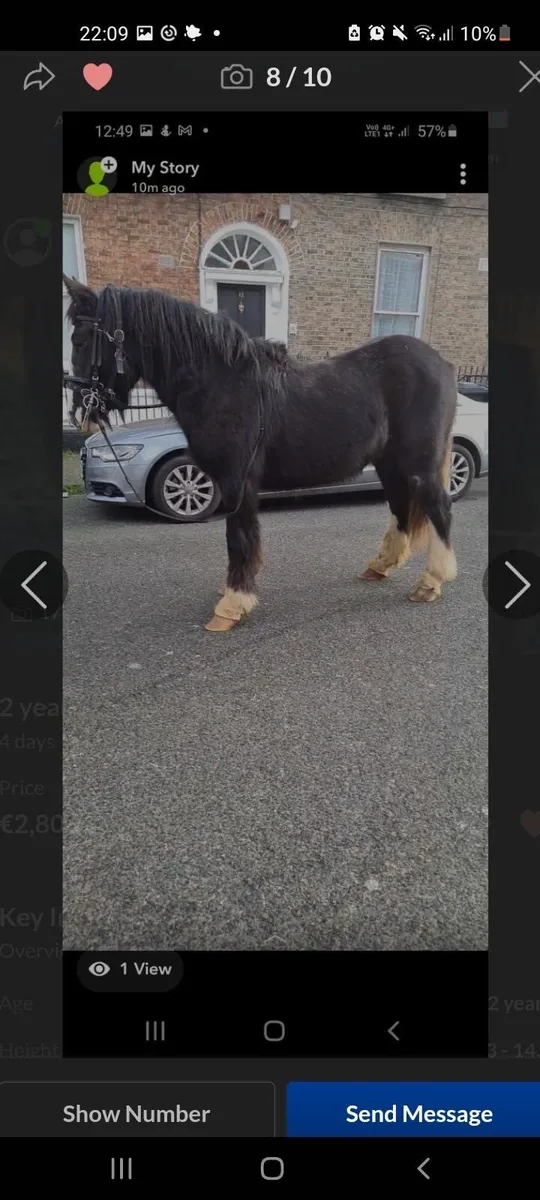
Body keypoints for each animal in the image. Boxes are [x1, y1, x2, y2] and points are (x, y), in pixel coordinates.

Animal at [64, 277, 458, 631]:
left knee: (438, 508)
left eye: (80, 340)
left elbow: (238, 538)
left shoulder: (238, 482)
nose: (80, 411)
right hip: (390, 463)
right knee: (401, 508)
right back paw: (379, 566)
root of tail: (443, 364)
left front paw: (232, 605)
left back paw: (430, 582)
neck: (222, 384)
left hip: (420, 464)